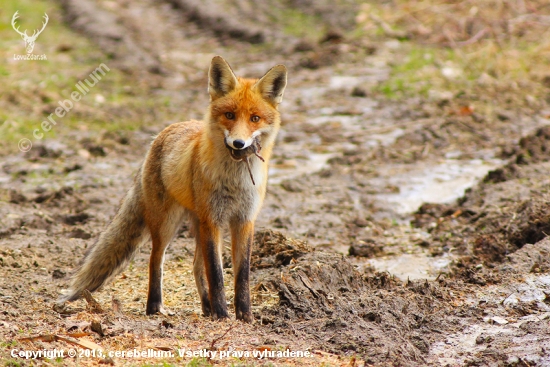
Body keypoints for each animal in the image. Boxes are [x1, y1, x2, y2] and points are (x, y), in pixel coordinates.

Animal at [59, 56, 288, 324]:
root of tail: (159, 136)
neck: (235, 181)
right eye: (230, 115)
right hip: (167, 224)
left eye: (254, 118)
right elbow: (217, 274)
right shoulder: (213, 220)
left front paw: (245, 316)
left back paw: (206, 307)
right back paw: (155, 307)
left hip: (197, 225)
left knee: (196, 266)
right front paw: (222, 315)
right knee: (155, 260)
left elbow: (241, 275)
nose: (239, 143)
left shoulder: (244, 220)